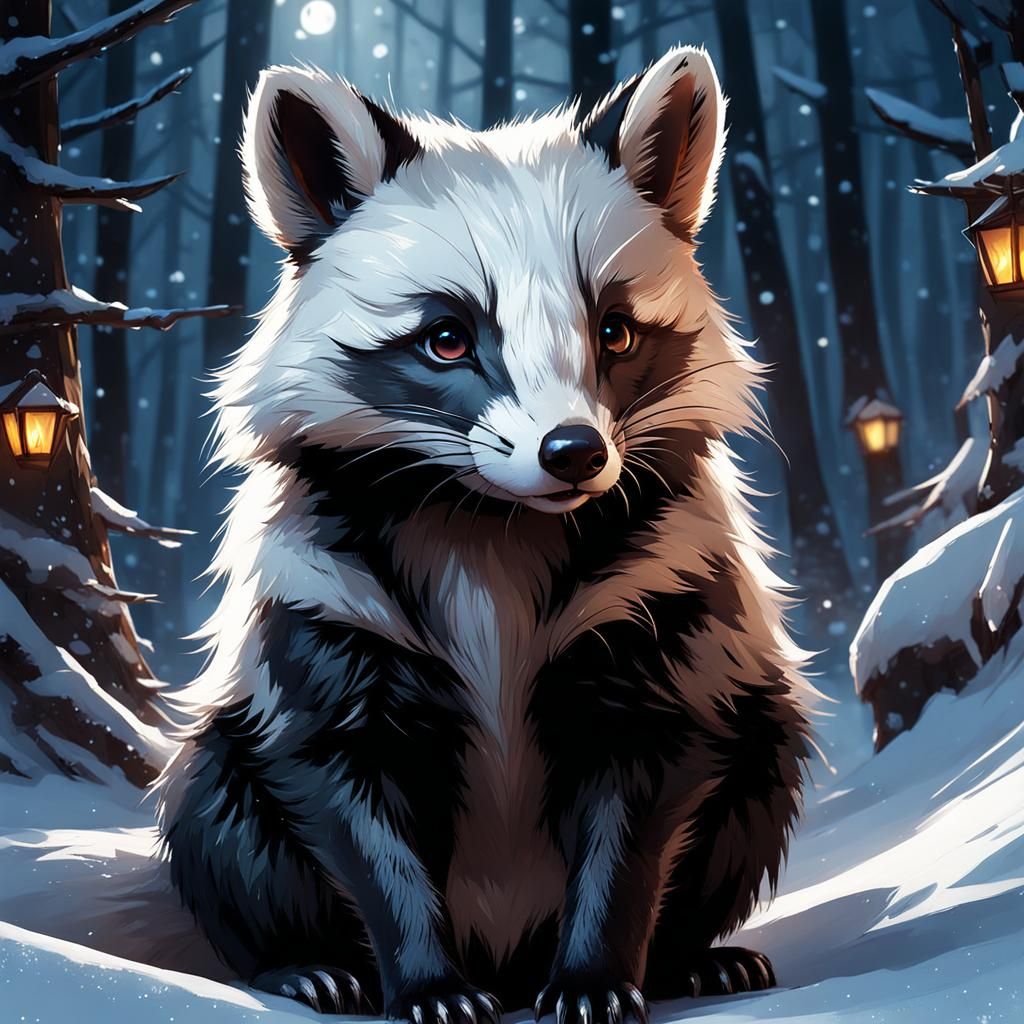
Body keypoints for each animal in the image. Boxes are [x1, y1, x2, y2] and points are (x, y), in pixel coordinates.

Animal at [157, 46, 812, 1023]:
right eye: (447, 338)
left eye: (614, 332)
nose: (575, 452)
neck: (491, 529)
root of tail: (508, 960)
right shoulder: (329, 609)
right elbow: (352, 803)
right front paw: (424, 983)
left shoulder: (659, 600)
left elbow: (636, 811)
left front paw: (596, 978)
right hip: (228, 756)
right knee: (217, 812)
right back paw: (301, 965)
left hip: (757, 734)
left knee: (757, 769)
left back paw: (693, 958)